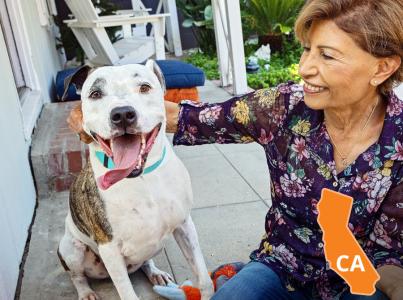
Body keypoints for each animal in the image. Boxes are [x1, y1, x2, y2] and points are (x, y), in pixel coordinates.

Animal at [58, 61, 215, 300]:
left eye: (144, 87)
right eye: (95, 94)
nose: (122, 114)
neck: (143, 178)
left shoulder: (184, 225)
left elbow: (204, 278)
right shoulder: (109, 248)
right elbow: (126, 291)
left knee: (145, 262)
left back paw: (156, 273)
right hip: (71, 248)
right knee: (77, 275)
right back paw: (86, 292)